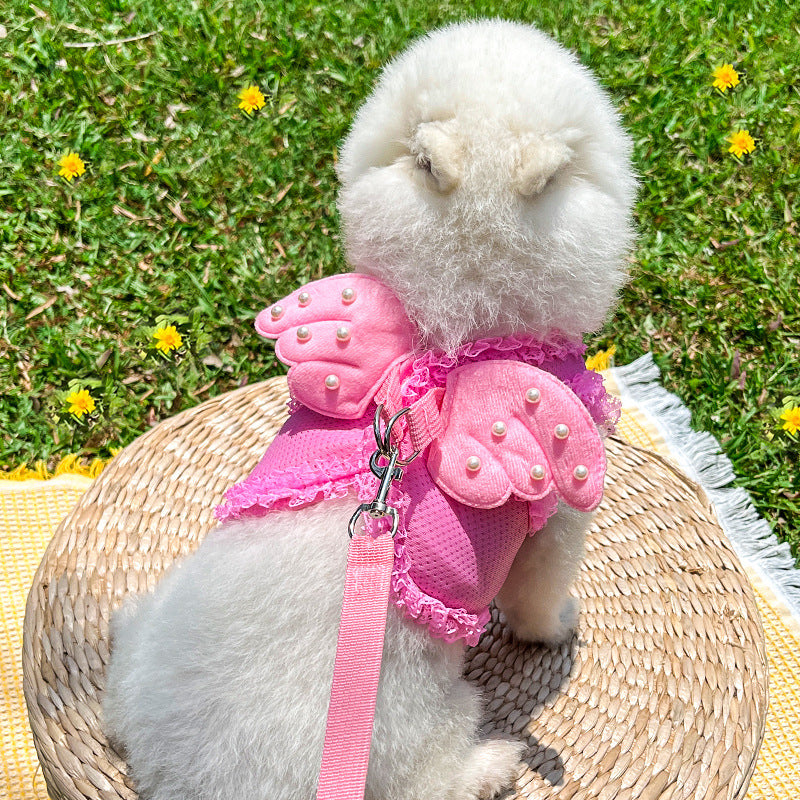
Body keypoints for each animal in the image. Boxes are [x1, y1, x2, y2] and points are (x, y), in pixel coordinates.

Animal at [101, 20, 636, 800]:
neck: (454, 338)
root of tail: (195, 775)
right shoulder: (556, 516)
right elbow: (536, 600)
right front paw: (558, 626)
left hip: (152, 638)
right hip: (419, 721)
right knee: (431, 779)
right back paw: (491, 765)